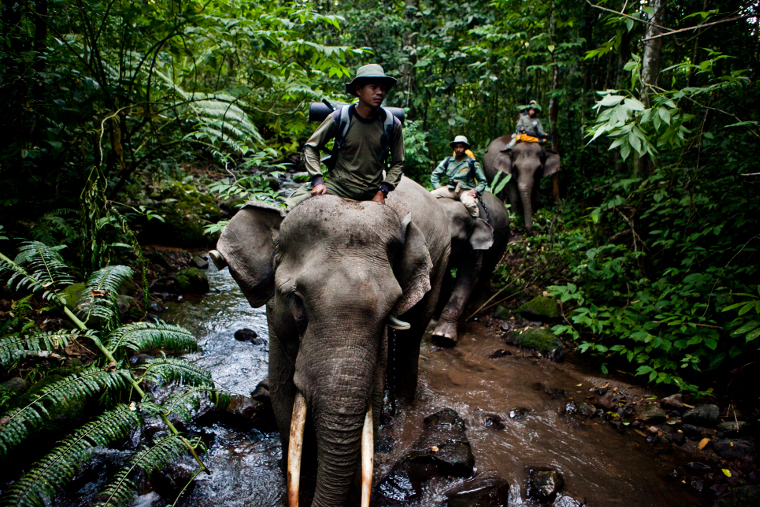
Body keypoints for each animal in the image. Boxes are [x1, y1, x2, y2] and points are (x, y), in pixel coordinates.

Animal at [212, 177, 450, 507]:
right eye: (296, 300)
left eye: (392, 306)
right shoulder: (276, 321)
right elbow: (284, 397)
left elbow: (371, 402)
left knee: (412, 339)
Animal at [431, 192, 510, 346]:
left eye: (453, 239)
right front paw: (435, 317)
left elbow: (469, 275)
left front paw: (443, 337)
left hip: (503, 238)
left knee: (487, 269)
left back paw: (478, 308)